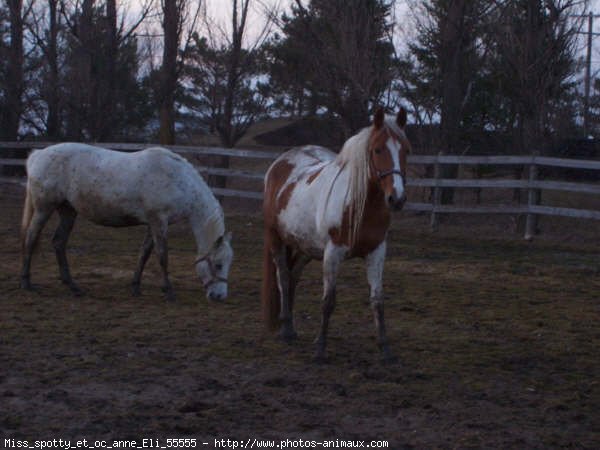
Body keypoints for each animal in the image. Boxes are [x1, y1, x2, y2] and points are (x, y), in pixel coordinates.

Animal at [19, 142, 233, 300]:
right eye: (218, 264)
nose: (219, 296)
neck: (178, 180)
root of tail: (37, 155)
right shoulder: (159, 221)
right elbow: (162, 256)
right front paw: (168, 291)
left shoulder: (152, 224)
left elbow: (144, 254)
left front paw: (136, 287)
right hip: (44, 209)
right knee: (31, 238)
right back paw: (27, 283)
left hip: (68, 211)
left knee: (59, 242)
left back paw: (72, 286)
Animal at [262, 107, 412, 360]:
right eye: (377, 149)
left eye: (405, 151)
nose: (397, 198)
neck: (360, 204)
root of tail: (280, 162)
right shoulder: (333, 252)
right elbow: (328, 301)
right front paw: (320, 349)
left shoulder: (377, 252)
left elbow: (377, 300)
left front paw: (385, 349)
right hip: (277, 238)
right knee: (283, 277)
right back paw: (286, 329)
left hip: (306, 247)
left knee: (293, 276)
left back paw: (290, 327)